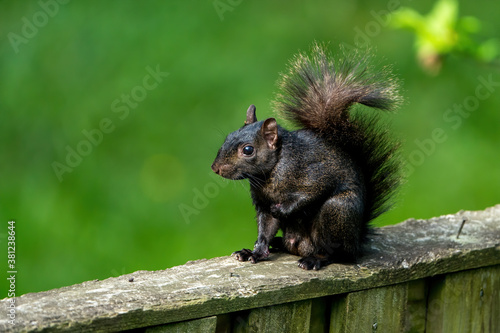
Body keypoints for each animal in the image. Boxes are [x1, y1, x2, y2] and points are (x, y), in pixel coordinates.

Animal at [211, 43, 402, 270]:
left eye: (248, 150)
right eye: (228, 136)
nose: (215, 168)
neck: (273, 171)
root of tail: (356, 240)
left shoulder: (315, 172)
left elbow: (311, 193)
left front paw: (282, 210)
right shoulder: (263, 203)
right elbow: (265, 229)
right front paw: (255, 252)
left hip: (337, 212)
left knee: (338, 253)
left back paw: (316, 259)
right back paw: (278, 244)